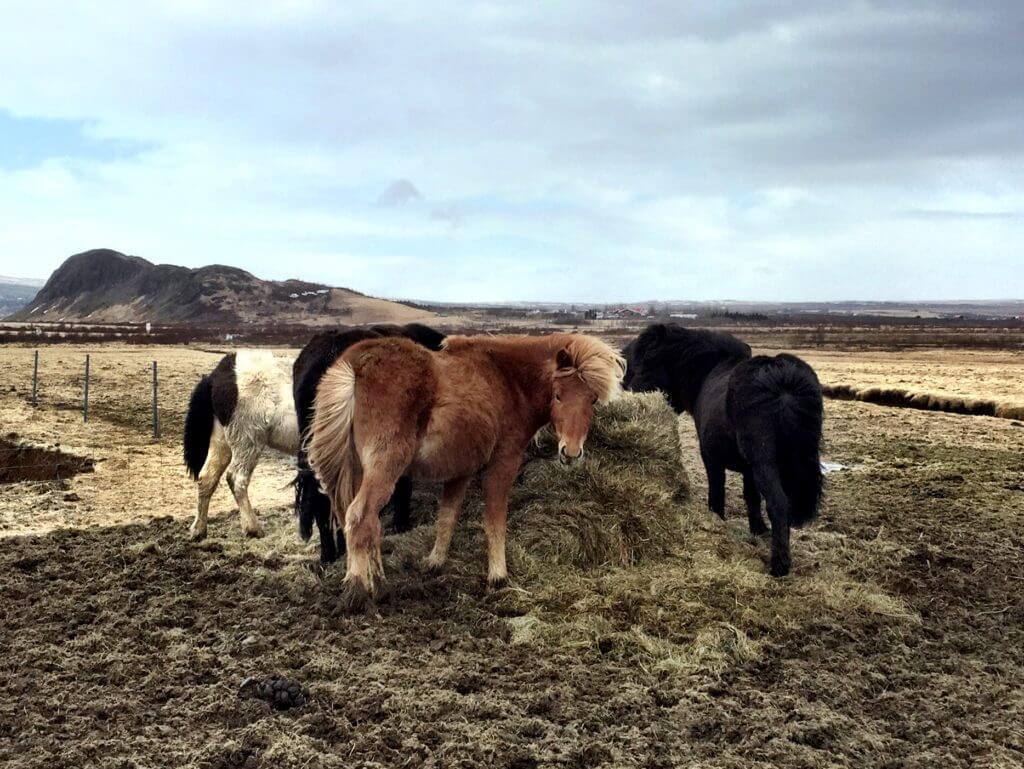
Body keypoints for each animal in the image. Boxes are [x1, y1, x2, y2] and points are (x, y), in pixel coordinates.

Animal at [183, 350, 299, 541]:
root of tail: (219, 373)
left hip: (221, 443)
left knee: (207, 478)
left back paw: (199, 530)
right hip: (247, 442)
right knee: (237, 479)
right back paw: (252, 528)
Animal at [306, 332, 625, 609]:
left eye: (592, 399)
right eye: (558, 395)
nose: (571, 453)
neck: (508, 382)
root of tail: (355, 364)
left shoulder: (460, 472)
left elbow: (447, 518)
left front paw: (434, 562)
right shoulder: (502, 464)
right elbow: (495, 521)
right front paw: (498, 576)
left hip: (359, 472)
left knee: (364, 521)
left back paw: (380, 586)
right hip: (383, 470)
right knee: (360, 517)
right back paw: (357, 592)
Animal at [623, 323, 823, 576]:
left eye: (642, 362)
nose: (626, 388)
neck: (708, 371)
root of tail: (783, 381)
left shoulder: (711, 457)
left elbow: (717, 490)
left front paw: (715, 520)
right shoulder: (748, 469)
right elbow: (751, 498)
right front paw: (758, 529)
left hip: (766, 461)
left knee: (778, 503)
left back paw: (779, 564)